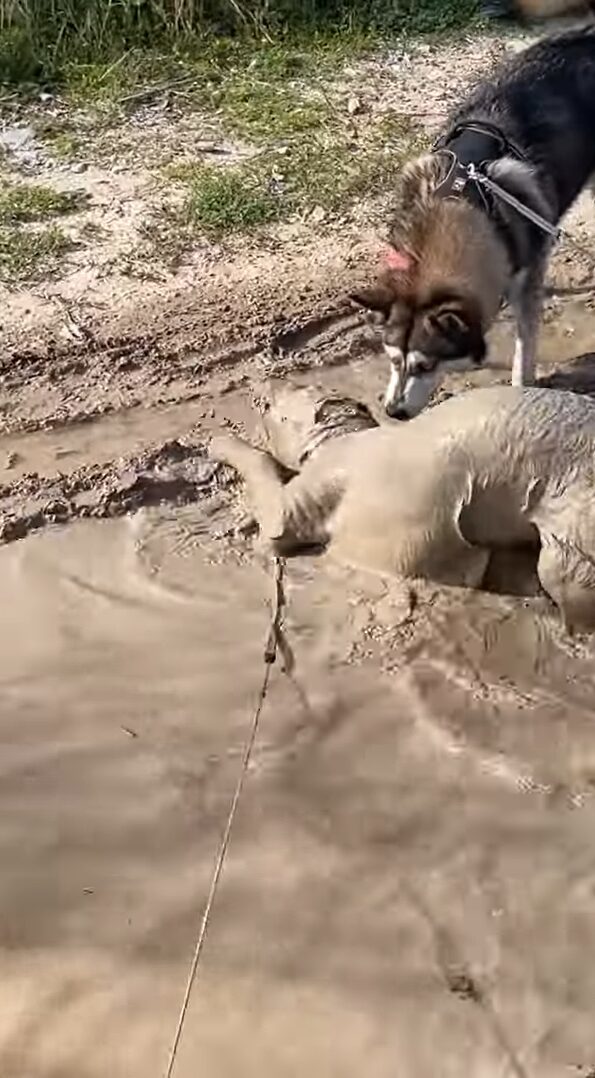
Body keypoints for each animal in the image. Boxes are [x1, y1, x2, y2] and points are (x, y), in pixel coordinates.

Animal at [212, 383, 595, 629]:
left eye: (277, 407)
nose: (265, 389)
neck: (343, 435)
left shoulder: (313, 489)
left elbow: (270, 497)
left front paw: (220, 442)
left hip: (574, 528)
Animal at [353, 24, 595, 420]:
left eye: (425, 365)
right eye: (392, 360)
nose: (392, 412)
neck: (457, 203)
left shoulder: (525, 279)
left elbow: (523, 352)